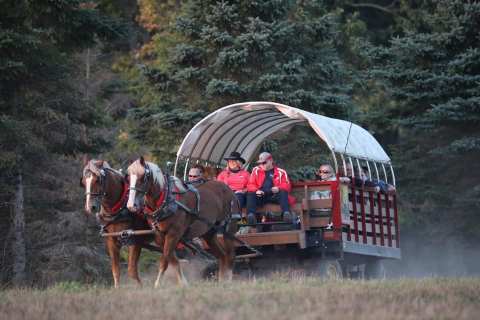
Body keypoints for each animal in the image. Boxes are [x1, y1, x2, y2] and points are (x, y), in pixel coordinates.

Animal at [80, 158, 150, 288]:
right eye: (83, 182)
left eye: (97, 180)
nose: (90, 207)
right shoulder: (111, 240)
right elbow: (116, 270)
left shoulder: (135, 239)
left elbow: (132, 270)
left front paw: (142, 288)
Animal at [126, 158, 237, 288]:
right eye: (128, 177)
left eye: (143, 177)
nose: (131, 205)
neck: (166, 199)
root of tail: (229, 190)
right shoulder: (159, 235)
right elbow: (172, 259)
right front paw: (183, 283)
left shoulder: (174, 234)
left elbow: (165, 259)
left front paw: (157, 284)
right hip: (209, 233)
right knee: (222, 255)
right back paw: (222, 280)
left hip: (229, 231)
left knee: (230, 256)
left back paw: (228, 279)